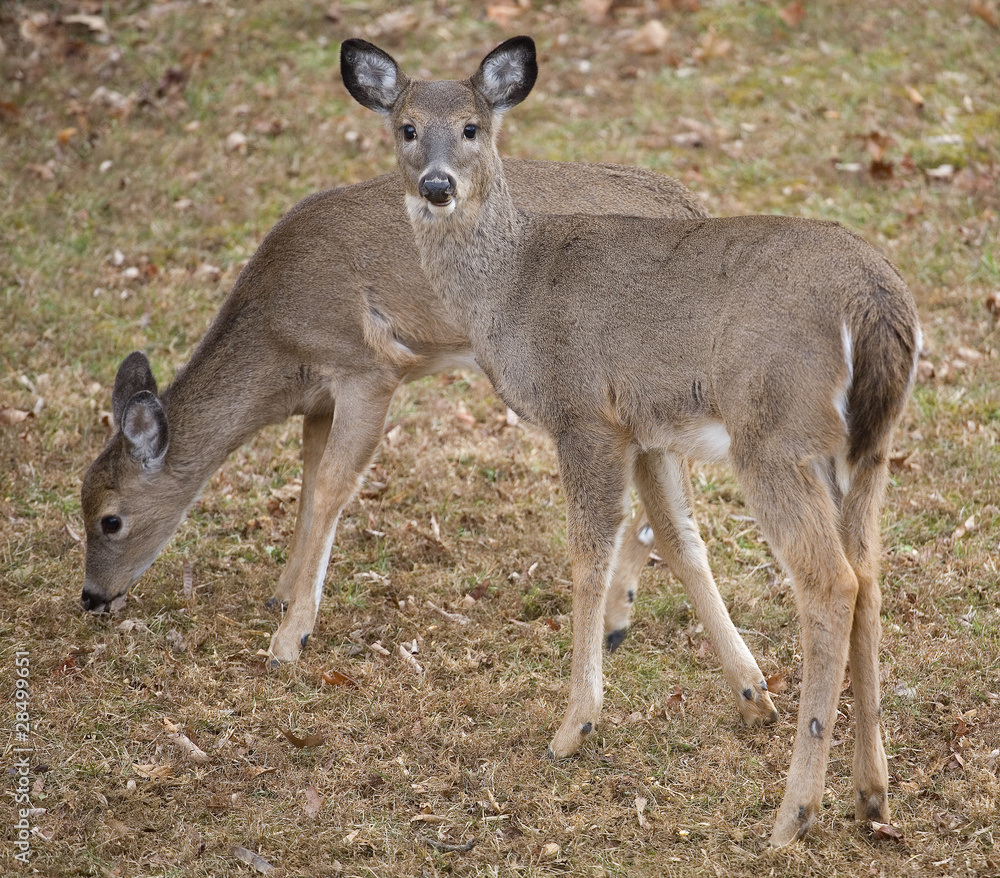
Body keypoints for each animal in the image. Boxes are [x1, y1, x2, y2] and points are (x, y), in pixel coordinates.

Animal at [78, 158, 744, 672]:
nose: (90, 597)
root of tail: (692, 204)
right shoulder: (320, 397)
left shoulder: (369, 369)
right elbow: (308, 483)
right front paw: (283, 595)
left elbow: (333, 485)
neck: (279, 342)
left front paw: (291, 636)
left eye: (111, 520)